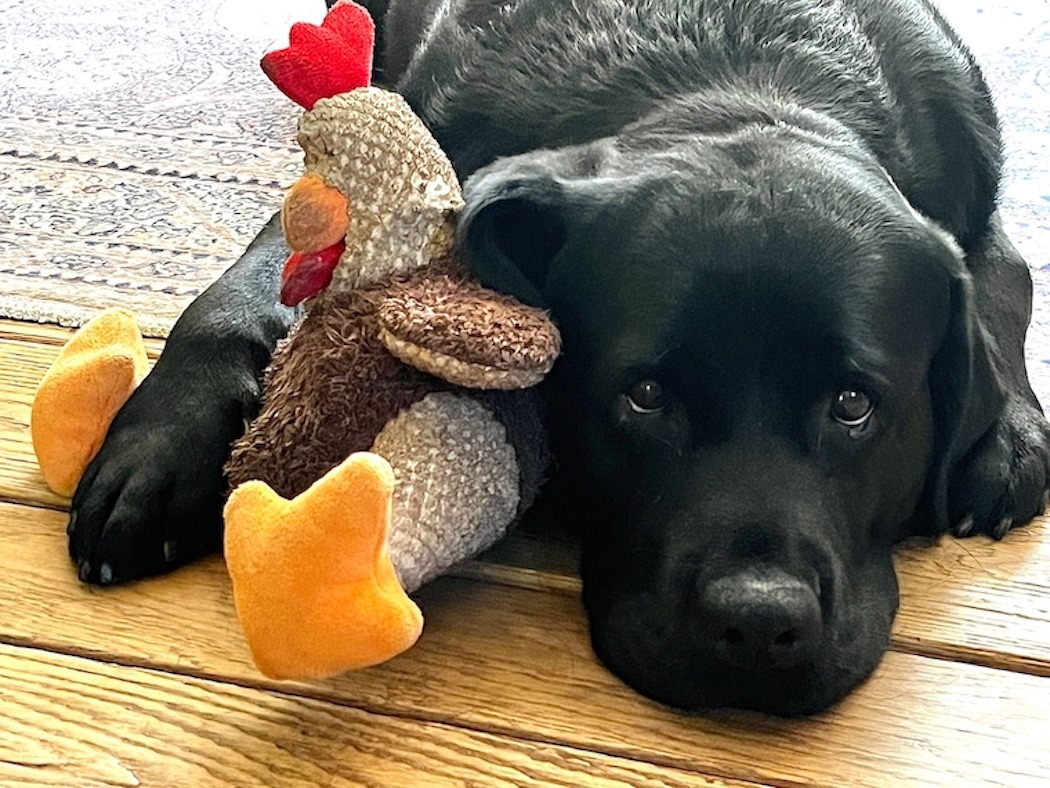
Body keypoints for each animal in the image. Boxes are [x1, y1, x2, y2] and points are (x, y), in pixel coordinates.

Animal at [68, 0, 1050, 715]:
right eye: (645, 396)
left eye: (855, 406)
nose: (759, 625)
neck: (742, 73)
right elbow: (243, 286)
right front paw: (157, 447)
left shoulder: (979, 212)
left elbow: (1008, 282)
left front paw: (1009, 435)